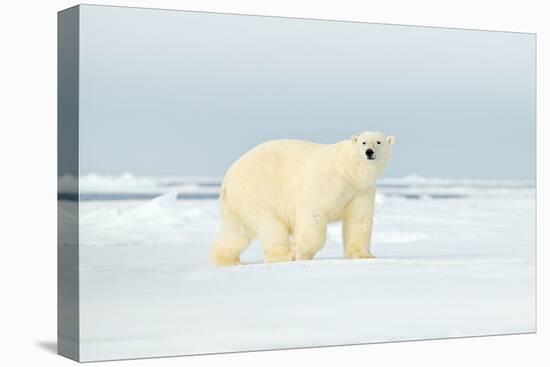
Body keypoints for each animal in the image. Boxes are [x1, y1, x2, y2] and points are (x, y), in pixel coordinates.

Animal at [209, 132, 394, 268]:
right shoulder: (327, 183)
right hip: (258, 193)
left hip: (239, 203)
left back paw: (226, 260)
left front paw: (364, 256)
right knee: (271, 225)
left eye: (378, 142)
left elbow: (359, 220)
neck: (349, 170)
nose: (369, 152)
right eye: (363, 142)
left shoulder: (361, 191)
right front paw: (300, 253)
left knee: (235, 232)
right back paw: (285, 255)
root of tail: (227, 178)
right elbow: (314, 214)